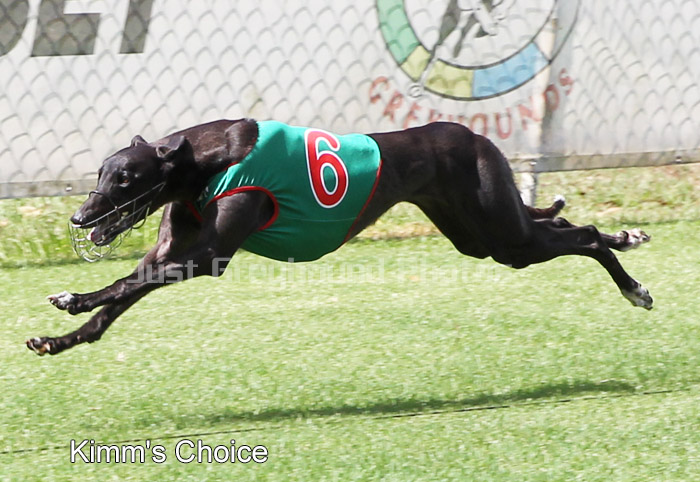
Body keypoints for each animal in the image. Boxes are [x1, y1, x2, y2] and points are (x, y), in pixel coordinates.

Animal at [27, 119, 652, 356]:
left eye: (124, 178)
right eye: (100, 172)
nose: (80, 218)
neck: (206, 159)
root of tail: (475, 135)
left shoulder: (205, 257)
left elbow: (123, 284)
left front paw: (70, 299)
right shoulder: (170, 251)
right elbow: (120, 298)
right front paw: (60, 335)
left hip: (501, 235)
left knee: (582, 234)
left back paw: (633, 284)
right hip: (483, 233)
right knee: (562, 225)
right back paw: (626, 237)